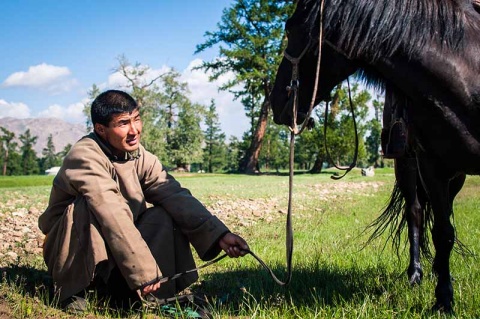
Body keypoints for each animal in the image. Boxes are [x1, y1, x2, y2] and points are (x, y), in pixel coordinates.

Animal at [270, 0, 480, 314]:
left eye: (289, 27)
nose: (274, 102)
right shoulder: (432, 166)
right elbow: (442, 232)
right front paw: (443, 301)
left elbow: (444, 230)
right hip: (408, 166)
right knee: (416, 213)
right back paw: (416, 273)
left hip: (457, 176)